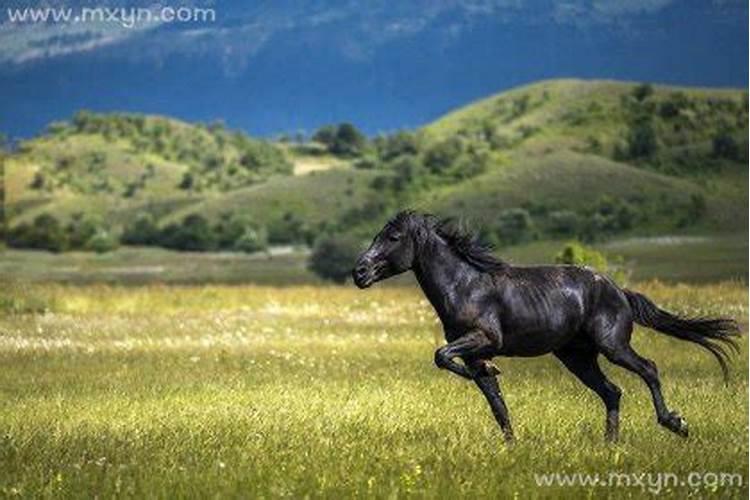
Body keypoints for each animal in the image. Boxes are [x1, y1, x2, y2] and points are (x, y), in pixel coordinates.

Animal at [352, 211, 740, 442]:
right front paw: (510, 443)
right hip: (577, 357)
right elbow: (494, 400)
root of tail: (619, 290)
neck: (465, 285)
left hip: (613, 345)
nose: (359, 273)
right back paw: (610, 445)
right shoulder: (473, 351)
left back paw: (676, 423)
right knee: (612, 391)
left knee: (649, 369)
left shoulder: (483, 338)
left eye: (393, 237)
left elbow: (442, 356)